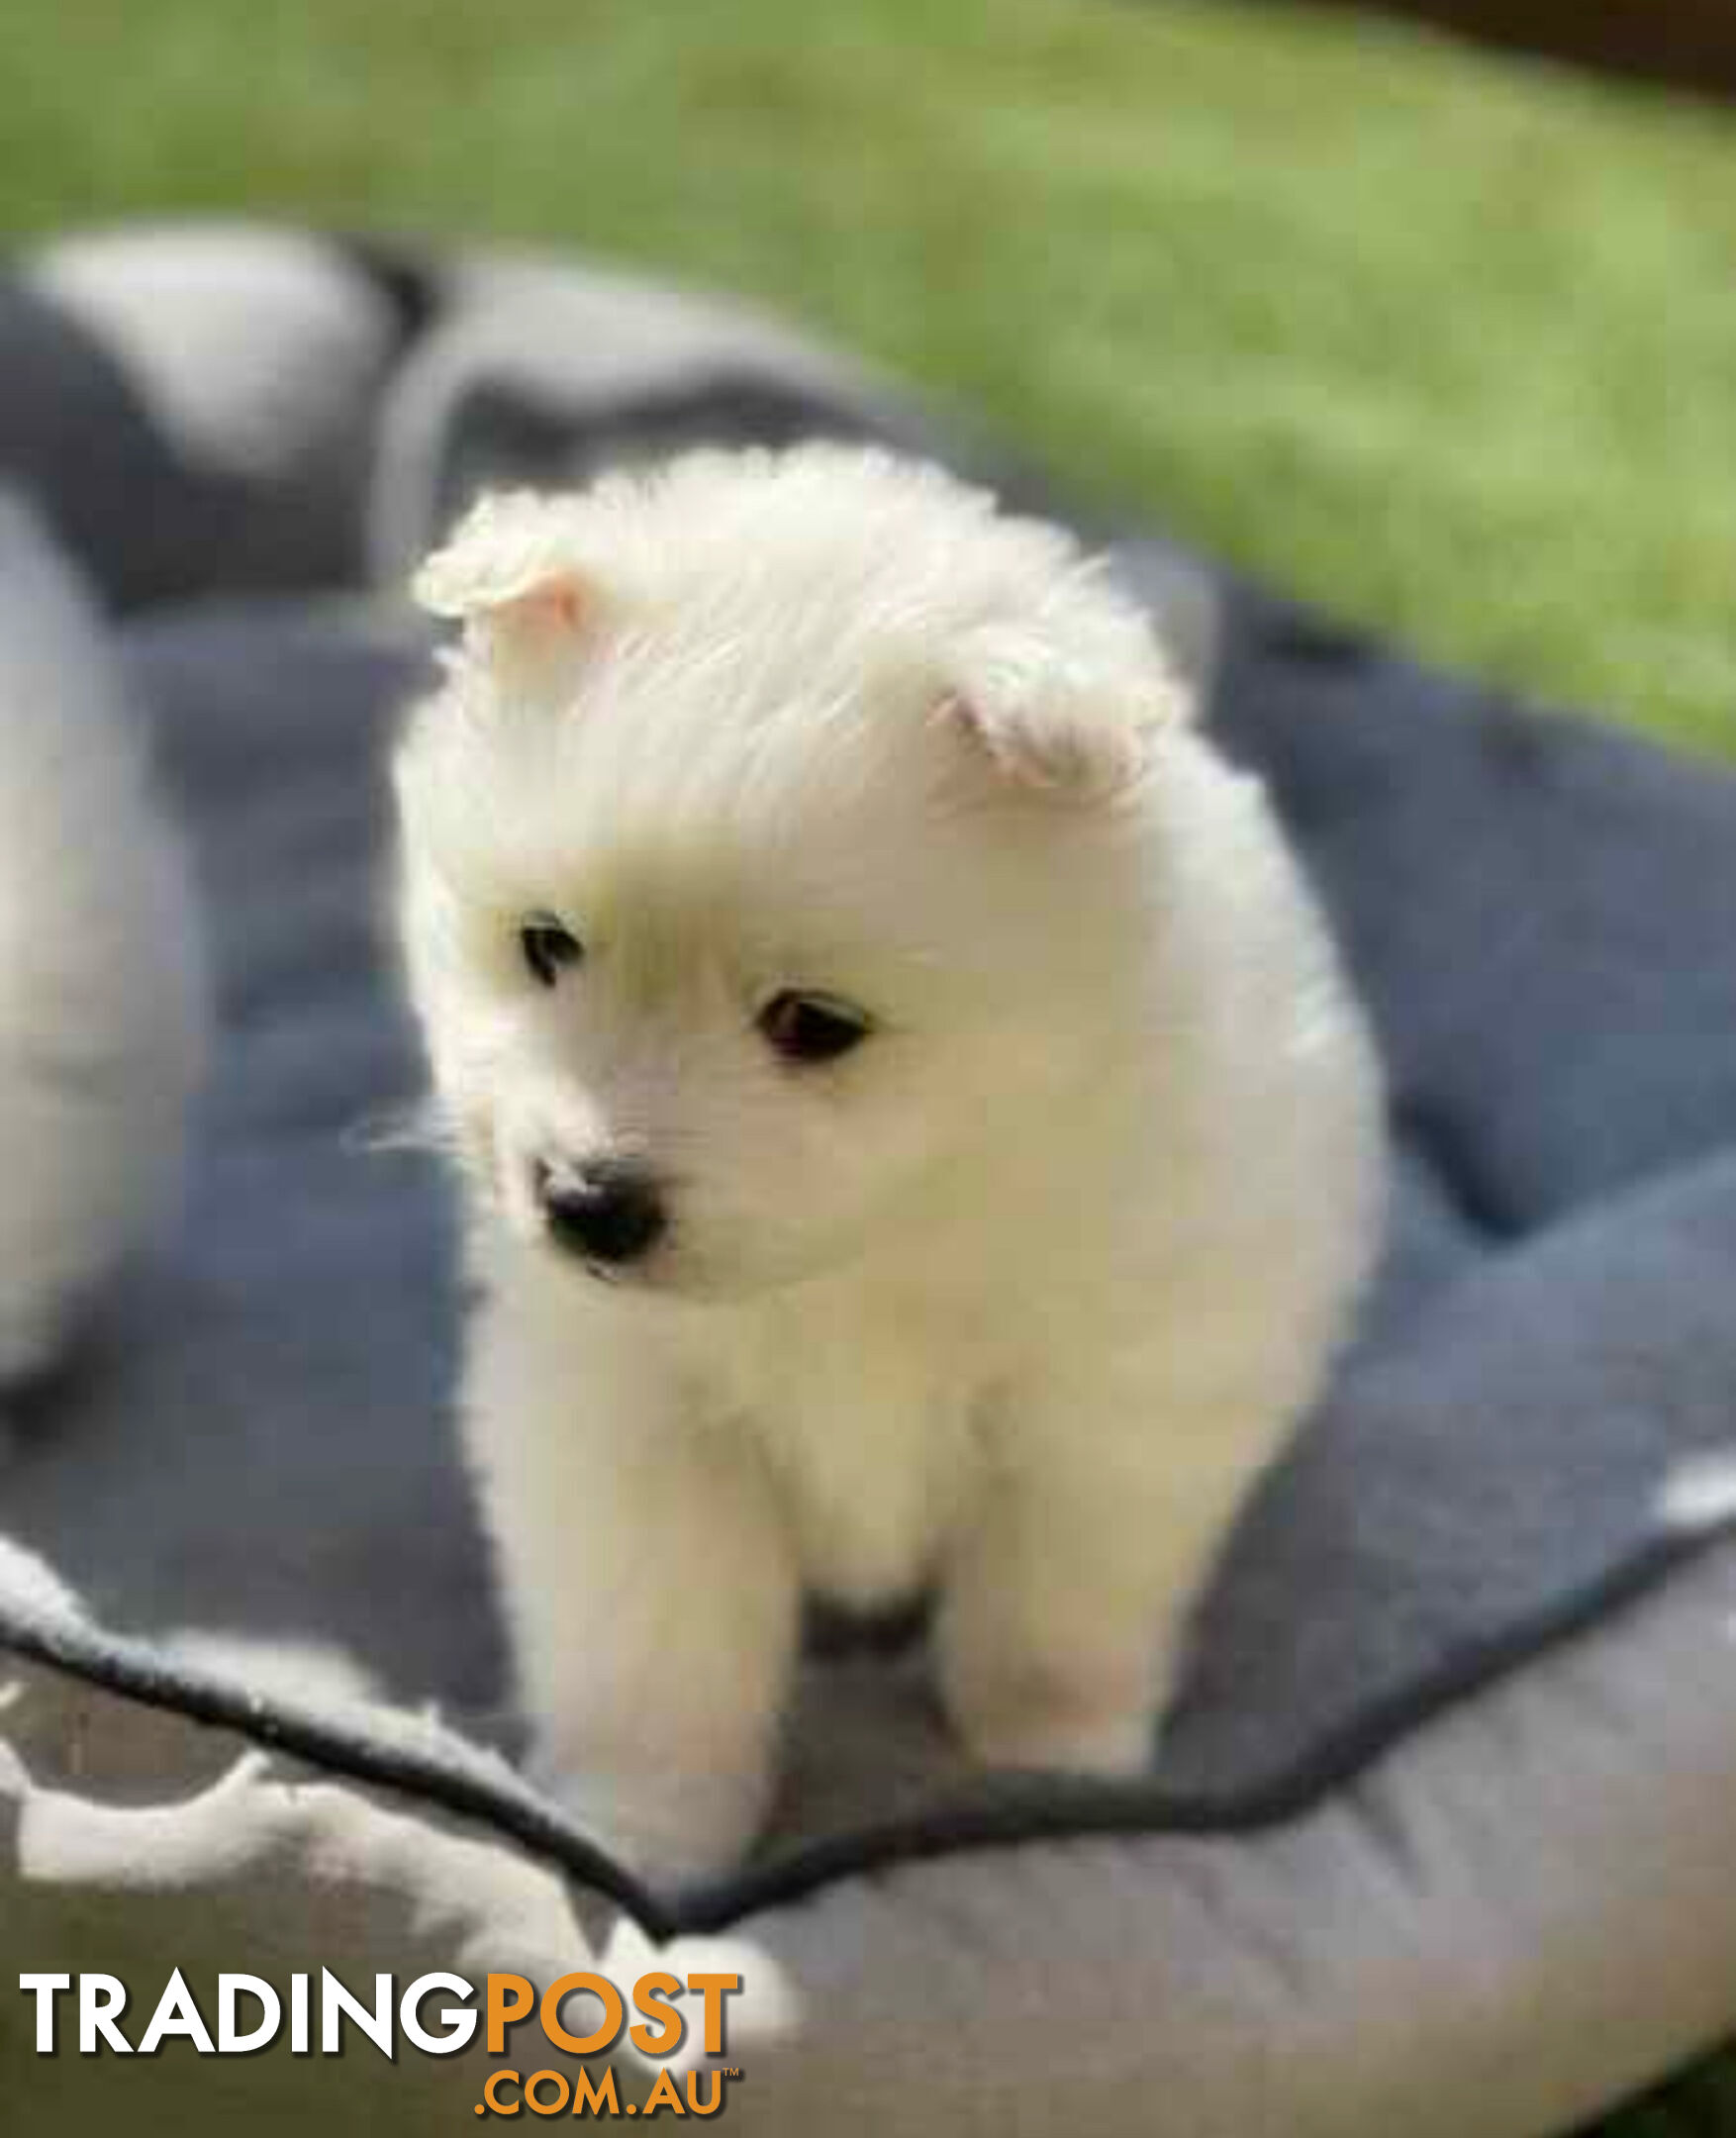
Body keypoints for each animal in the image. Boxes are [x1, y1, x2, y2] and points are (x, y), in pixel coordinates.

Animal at [393, 442, 1385, 1881]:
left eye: (814, 1024)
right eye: (546, 946)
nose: (584, 1203)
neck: (870, 1251)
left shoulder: (1114, 1398)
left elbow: (1054, 1593)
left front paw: (1048, 1751)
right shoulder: (631, 1410)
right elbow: (656, 1635)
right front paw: (642, 1826)